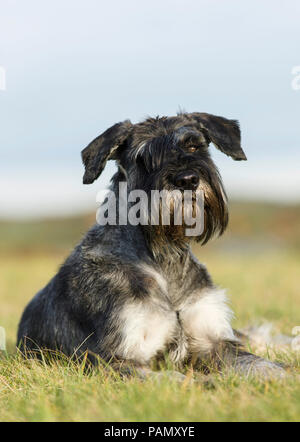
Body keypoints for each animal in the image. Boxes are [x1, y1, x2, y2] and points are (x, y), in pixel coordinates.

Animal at [17, 112, 286, 378]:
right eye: (144, 158)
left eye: (193, 145)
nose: (187, 180)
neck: (165, 258)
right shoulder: (119, 359)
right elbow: (174, 379)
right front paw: (206, 382)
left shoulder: (214, 340)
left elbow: (261, 364)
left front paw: (284, 377)